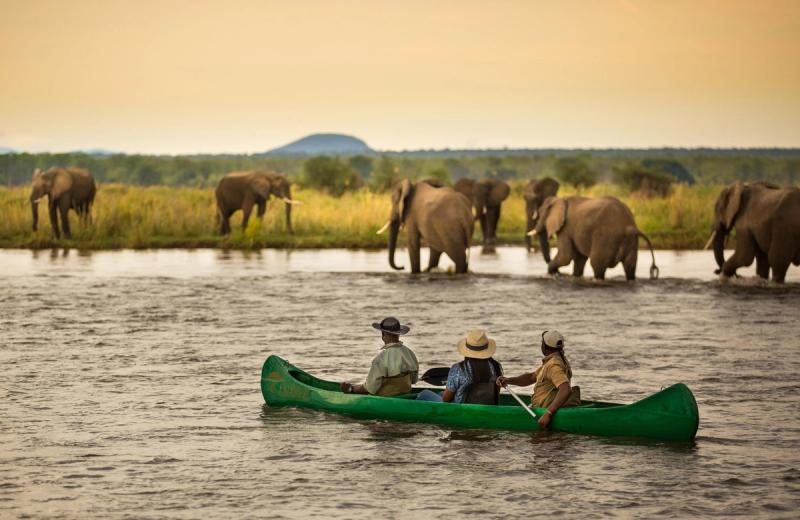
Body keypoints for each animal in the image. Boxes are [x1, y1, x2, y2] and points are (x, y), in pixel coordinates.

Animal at [530, 196, 659, 280]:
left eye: (540, 214)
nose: (557, 273)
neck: (560, 199)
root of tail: (629, 227)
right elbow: (579, 259)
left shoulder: (565, 229)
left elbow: (565, 257)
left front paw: (552, 273)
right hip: (631, 241)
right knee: (630, 267)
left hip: (605, 237)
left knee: (597, 265)